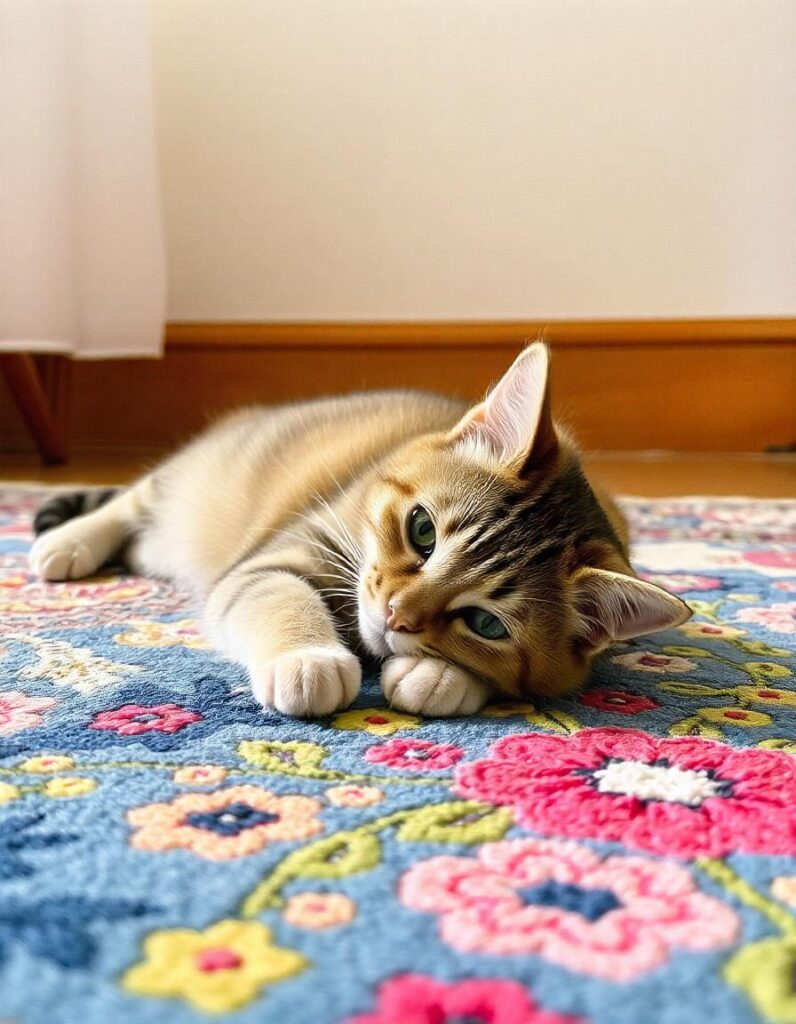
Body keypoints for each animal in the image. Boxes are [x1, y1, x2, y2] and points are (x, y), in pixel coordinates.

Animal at [30, 339, 688, 716]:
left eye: (486, 624)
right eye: (422, 530)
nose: (395, 615)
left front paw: (438, 675)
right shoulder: (282, 553)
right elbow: (277, 594)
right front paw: (308, 658)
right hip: (195, 478)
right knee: (134, 499)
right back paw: (67, 543)